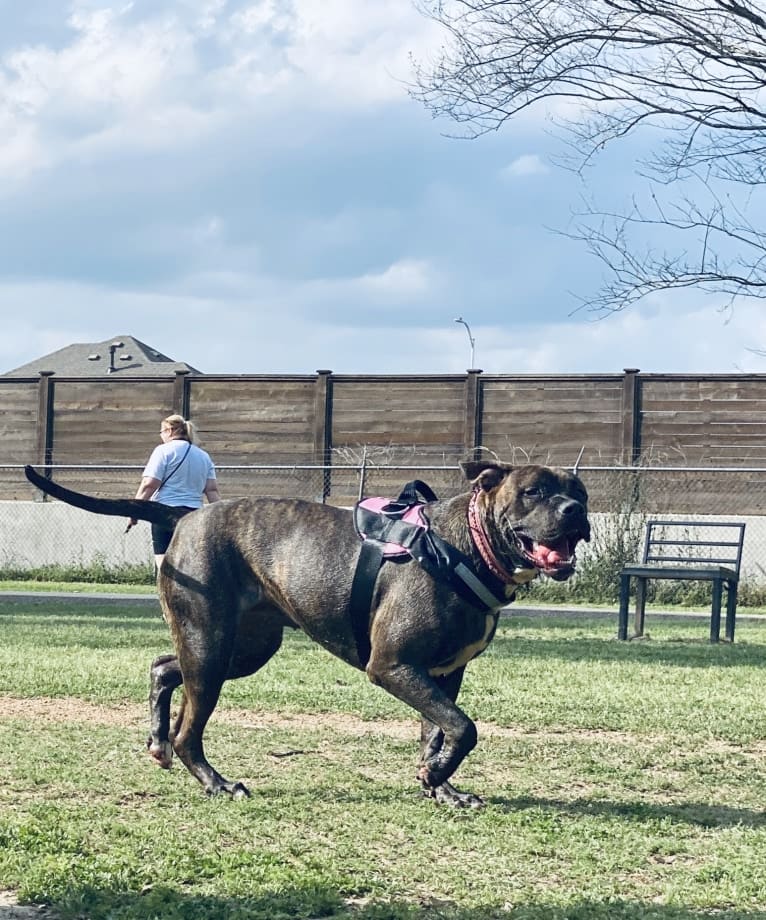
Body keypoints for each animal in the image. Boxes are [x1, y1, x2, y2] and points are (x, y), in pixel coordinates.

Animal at [22, 460, 588, 804]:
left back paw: (157, 742)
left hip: (243, 648)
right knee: (190, 729)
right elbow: (464, 727)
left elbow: (440, 731)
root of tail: (185, 515)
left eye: (576, 491)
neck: (464, 545)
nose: (576, 510)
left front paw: (441, 787)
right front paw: (435, 778)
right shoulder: (394, 666)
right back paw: (214, 781)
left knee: (163, 667)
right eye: (534, 491)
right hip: (211, 647)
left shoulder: (444, 674)